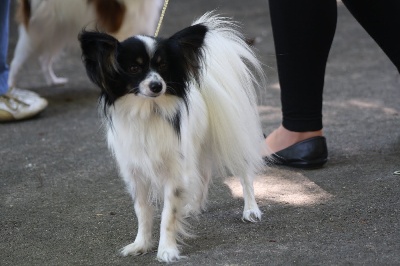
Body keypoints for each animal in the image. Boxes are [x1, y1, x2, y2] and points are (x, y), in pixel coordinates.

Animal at [7, 0, 162, 89]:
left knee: (44, 60)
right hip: (36, 35)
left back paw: (53, 81)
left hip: (57, 33)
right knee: (16, 62)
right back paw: (11, 88)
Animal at [78, 11, 268, 262]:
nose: (157, 85)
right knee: (203, 176)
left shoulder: (174, 172)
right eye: (133, 68)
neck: (148, 112)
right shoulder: (136, 174)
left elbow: (168, 215)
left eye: (163, 66)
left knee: (245, 173)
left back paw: (251, 209)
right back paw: (194, 207)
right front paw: (141, 244)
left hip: (231, 137)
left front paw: (166, 250)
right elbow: (143, 212)